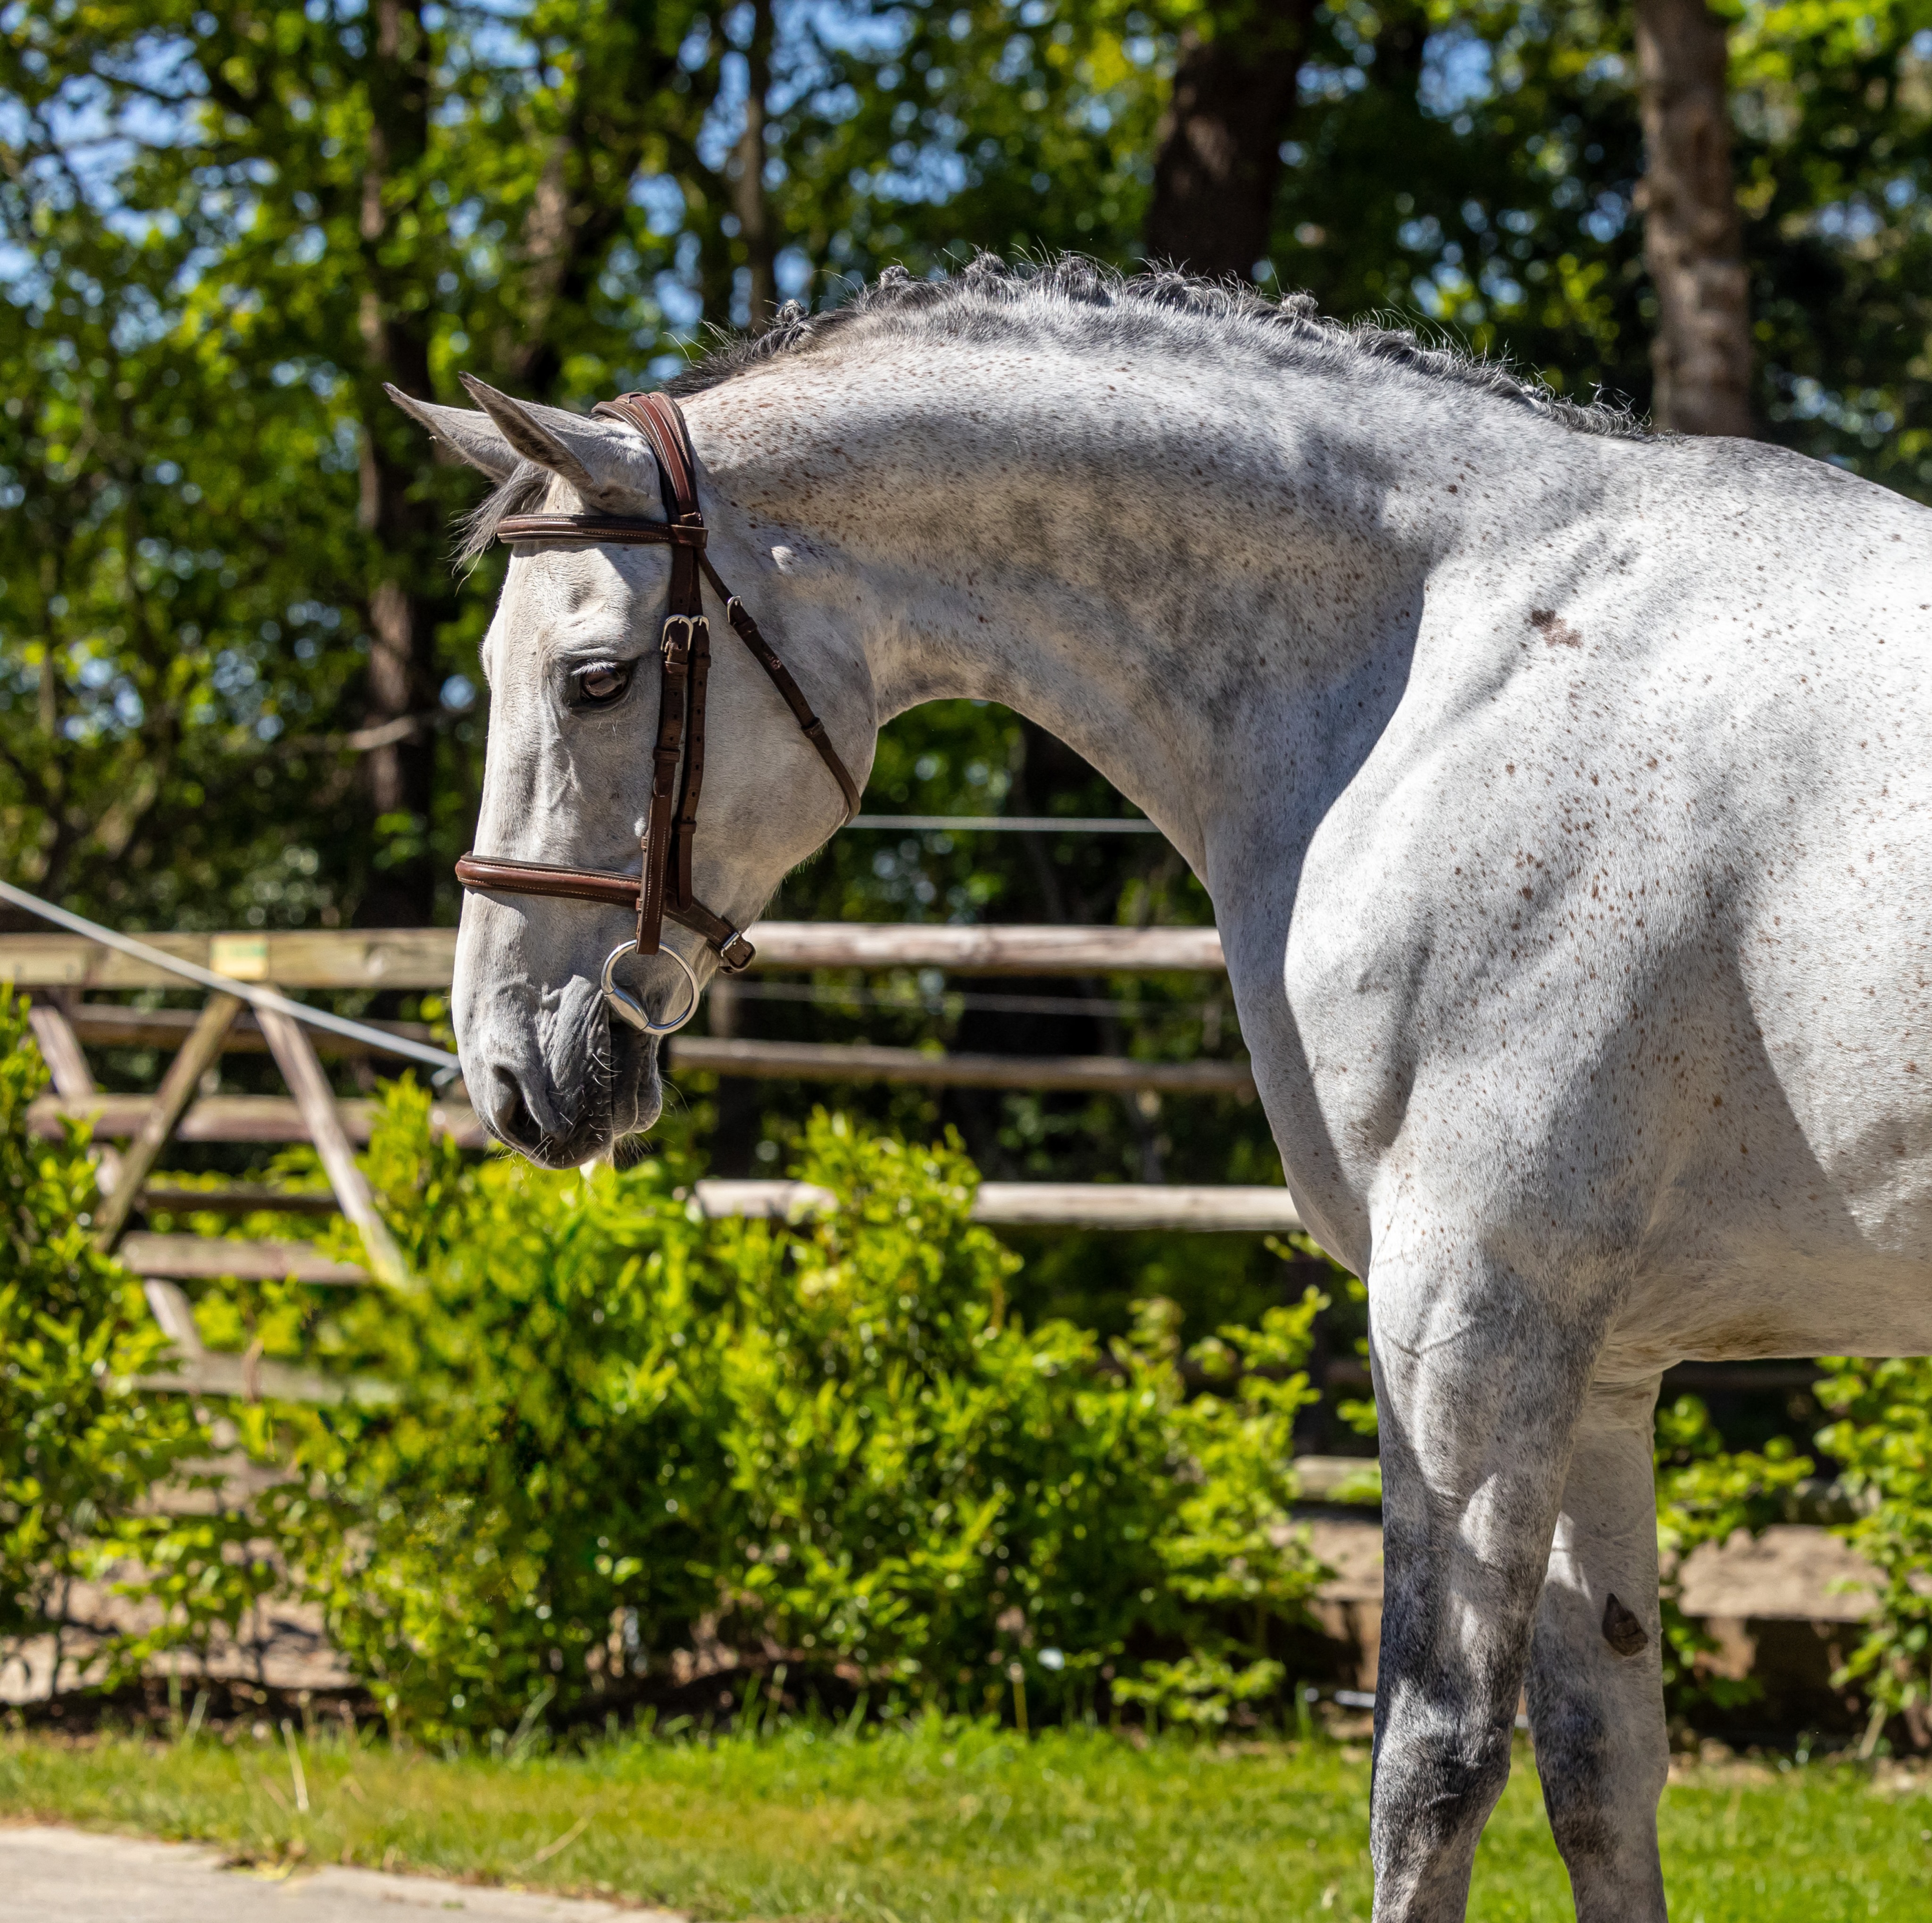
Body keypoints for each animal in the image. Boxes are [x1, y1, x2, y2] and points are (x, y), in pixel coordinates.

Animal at [389, 255, 1932, 1922]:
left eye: (597, 680)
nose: (508, 1061)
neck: (1459, 663)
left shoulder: (1472, 1313)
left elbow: (1434, 1766)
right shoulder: (1603, 1360)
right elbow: (1602, 1769)